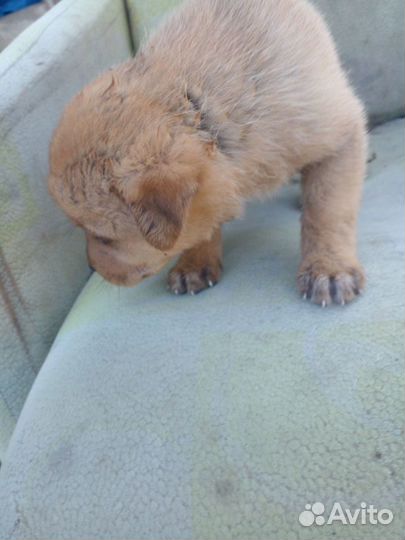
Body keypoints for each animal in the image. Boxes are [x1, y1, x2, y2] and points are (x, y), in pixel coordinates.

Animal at [47, 0, 366, 306]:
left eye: (104, 238)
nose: (91, 266)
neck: (200, 109)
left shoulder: (340, 136)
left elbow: (326, 211)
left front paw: (328, 269)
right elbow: (202, 223)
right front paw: (195, 262)